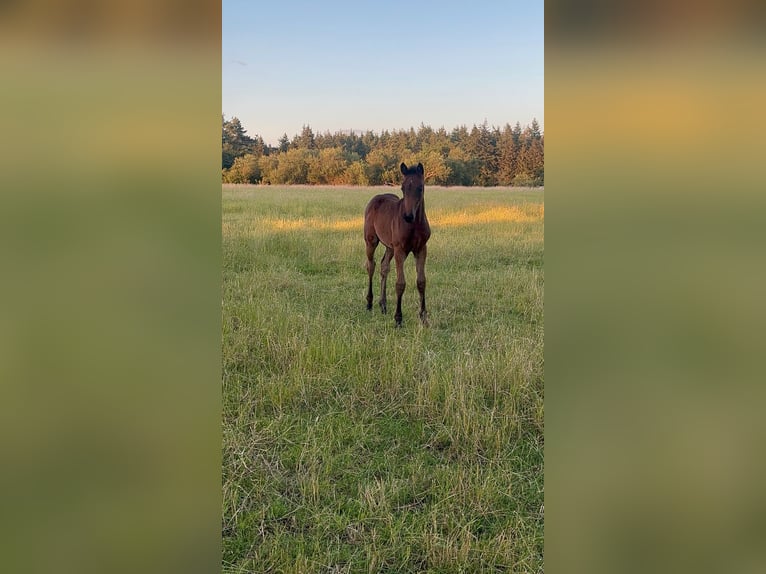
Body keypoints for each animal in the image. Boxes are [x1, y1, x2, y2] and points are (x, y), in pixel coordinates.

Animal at [366, 162, 432, 328]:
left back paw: (383, 305)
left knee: (384, 266)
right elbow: (400, 283)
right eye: (403, 188)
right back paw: (369, 303)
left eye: (420, 188)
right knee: (371, 265)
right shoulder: (400, 250)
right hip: (371, 241)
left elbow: (421, 282)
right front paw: (398, 319)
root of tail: (377, 197)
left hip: (390, 247)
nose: (407, 216)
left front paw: (424, 317)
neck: (414, 225)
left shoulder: (421, 249)